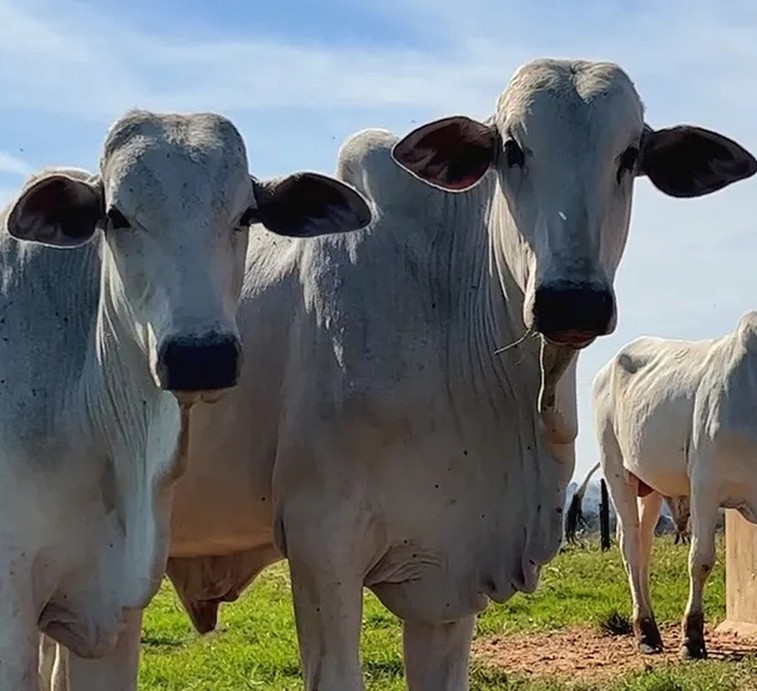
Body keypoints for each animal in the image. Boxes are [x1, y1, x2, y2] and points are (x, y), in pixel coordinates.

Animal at [594, 312, 757, 660]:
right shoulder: (705, 485)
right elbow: (701, 560)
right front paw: (691, 639)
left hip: (651, 487)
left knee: (643, 544)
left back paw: (650, 628)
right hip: (617, 472)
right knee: (631, 546)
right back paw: (644, 631)